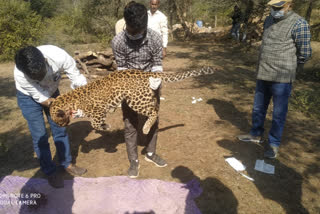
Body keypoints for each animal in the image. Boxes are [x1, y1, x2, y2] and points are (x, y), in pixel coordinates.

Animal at [48, 67, 216, 135]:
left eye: (58, 122)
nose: (62, 127)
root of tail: (144, 73)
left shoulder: (98, 110)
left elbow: (94, 123)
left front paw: (105, 126)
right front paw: (106, 123)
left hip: (136, 100)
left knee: (154, 112)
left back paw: (146, 128)